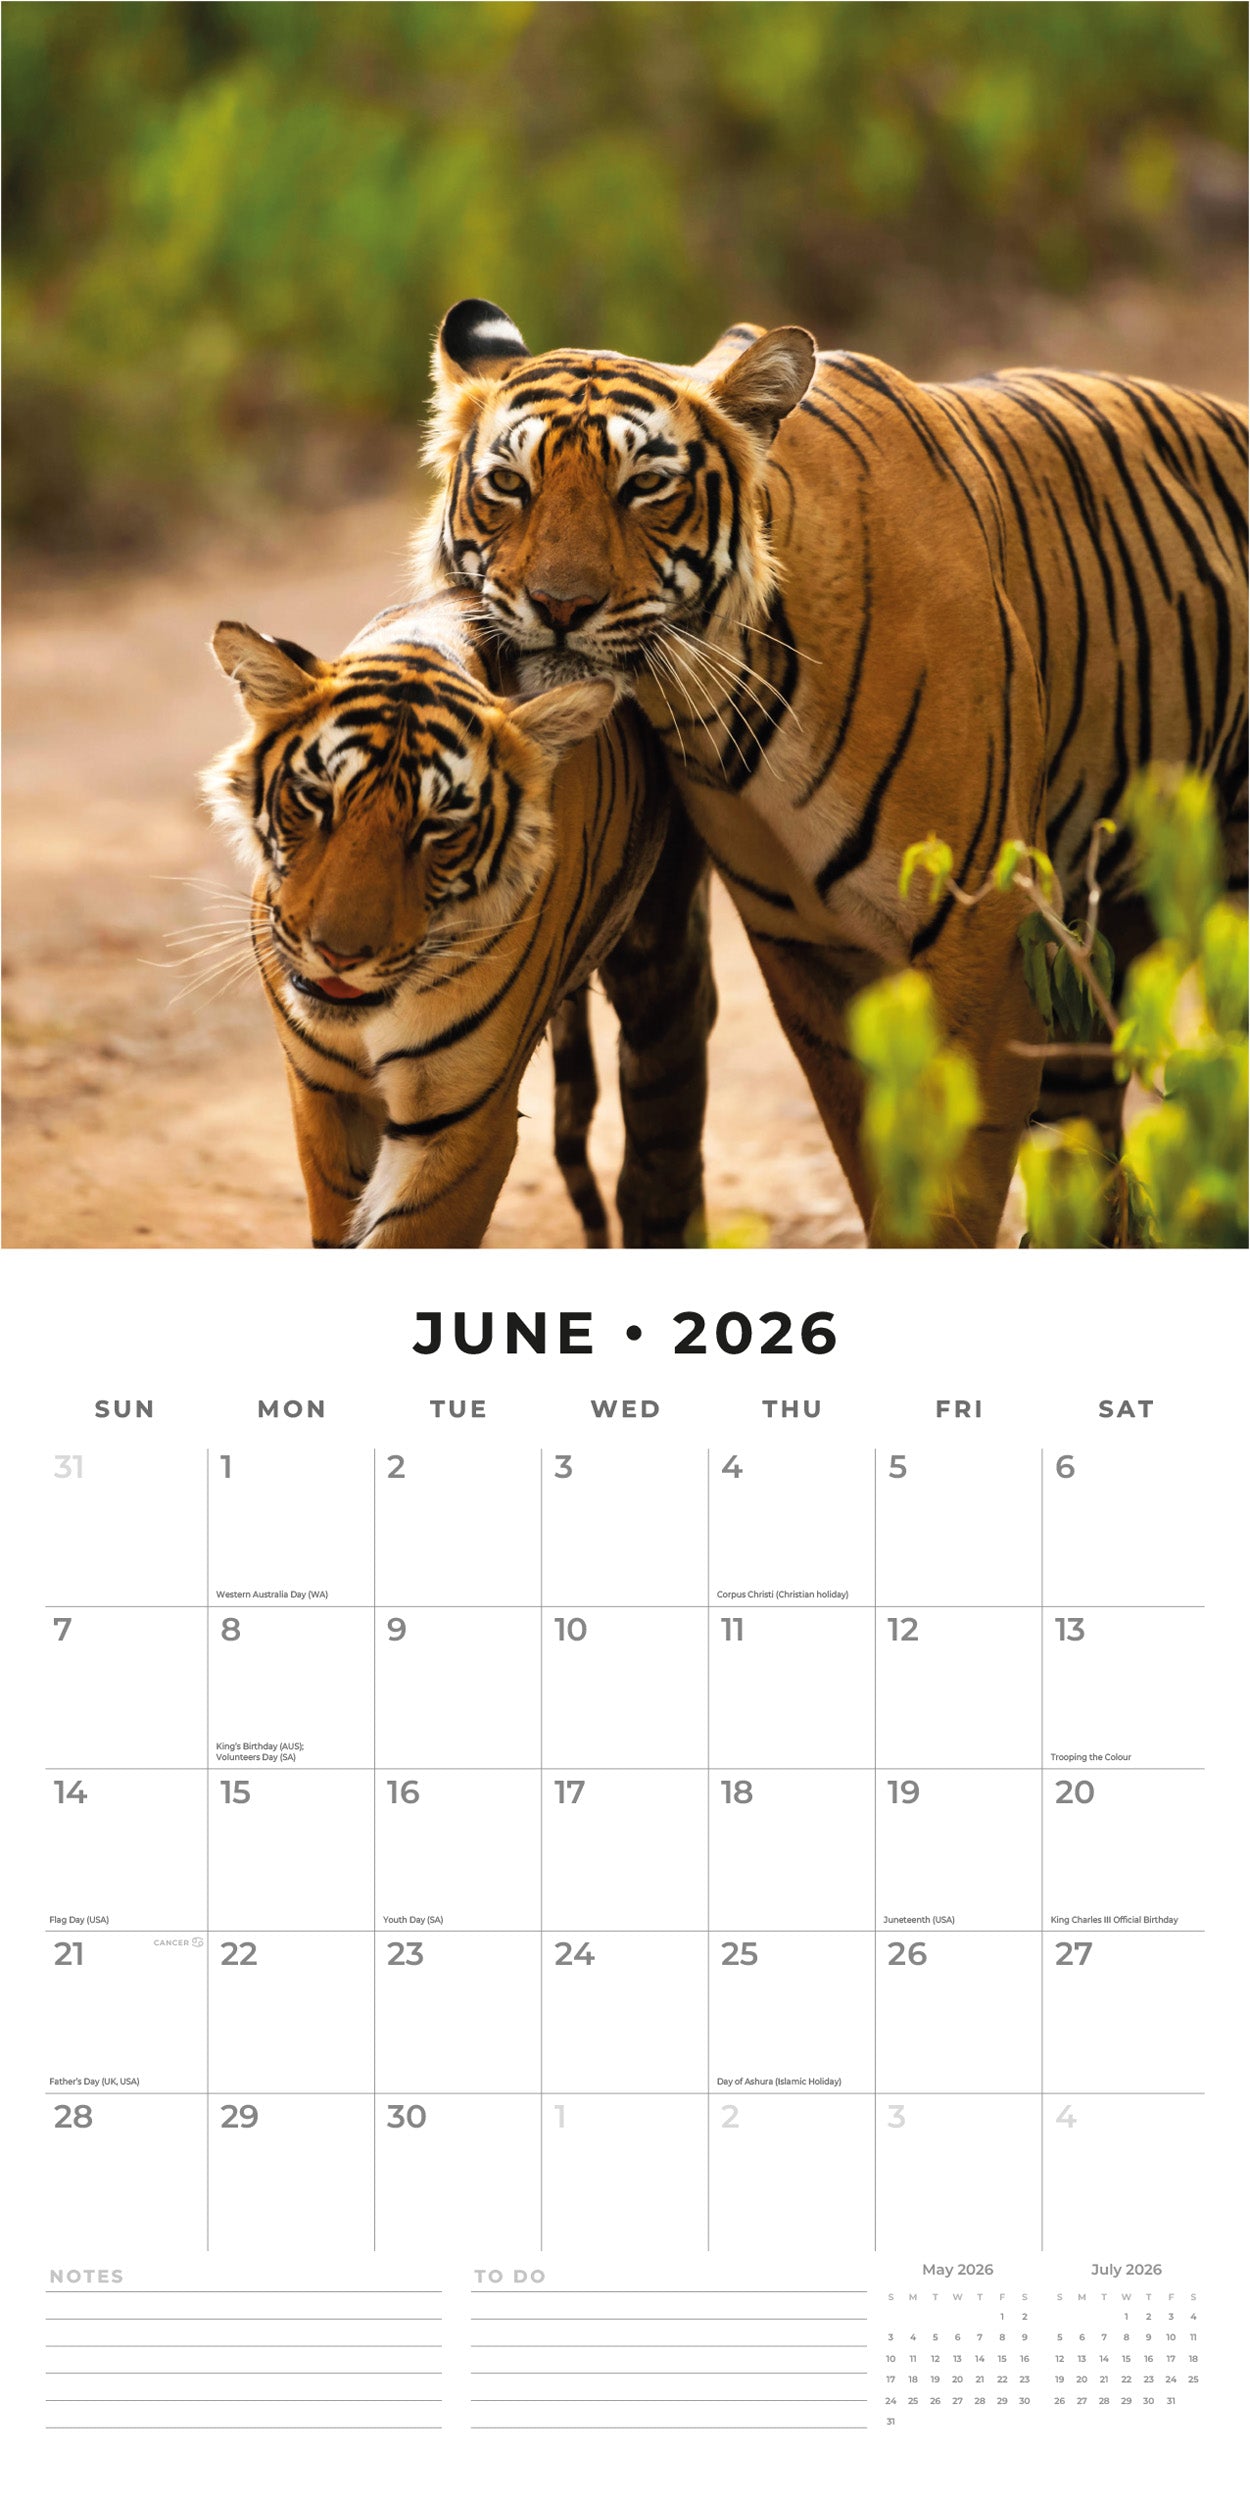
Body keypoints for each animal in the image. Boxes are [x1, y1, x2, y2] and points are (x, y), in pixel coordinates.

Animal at [417, 296, 1248, 1246]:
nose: (560, 606)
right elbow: (877, 1160)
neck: (718, 701)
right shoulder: (813, 950)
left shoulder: (984, 936)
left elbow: (949, 1189)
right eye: (509, 485)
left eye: (645, 488)